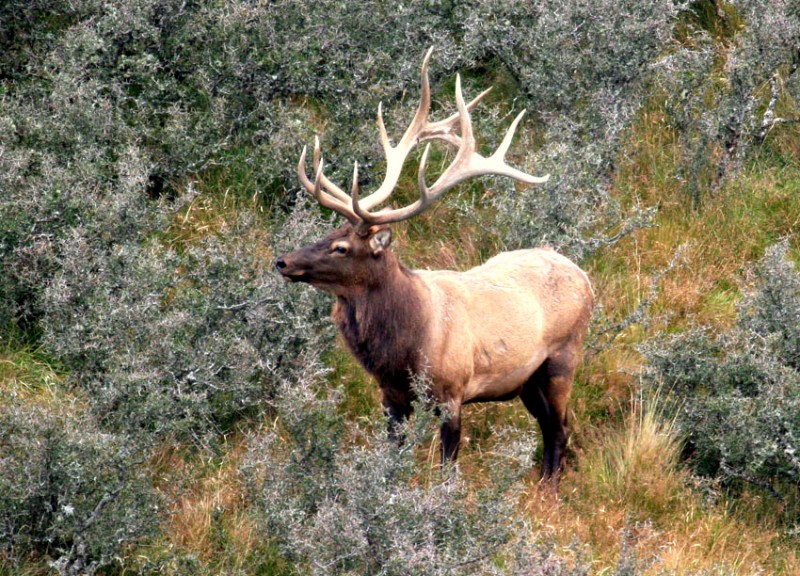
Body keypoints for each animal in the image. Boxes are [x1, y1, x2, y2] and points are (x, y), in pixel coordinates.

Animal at [276, 48, 592, 482]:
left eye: (341, 247)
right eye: (327, 233)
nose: (283, 261)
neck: (403, 347)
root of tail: (586, 278)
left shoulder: (453, 391)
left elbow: (447, 468)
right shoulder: (391, 397)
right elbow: (392, 458)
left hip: (563, 356)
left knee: (560, 429)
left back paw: (549, 489)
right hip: (527, 381)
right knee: (551, 428)